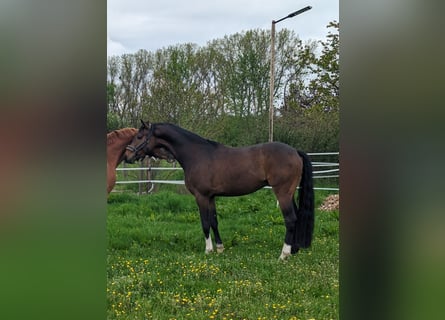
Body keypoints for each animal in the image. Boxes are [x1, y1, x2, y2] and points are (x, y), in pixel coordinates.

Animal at [123, 120, 314, 260]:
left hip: (282, 192)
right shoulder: (211, 197)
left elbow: (205, 223)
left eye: (139, 136)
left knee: (290, 219)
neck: (197, 154)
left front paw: (208, 250)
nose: (127, 155)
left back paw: (284, 254)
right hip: (289, 193)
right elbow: (214, 221)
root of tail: (295, 151)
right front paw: (220, 248)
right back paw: (294, 250)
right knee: (296, 218)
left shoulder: (201, 196)